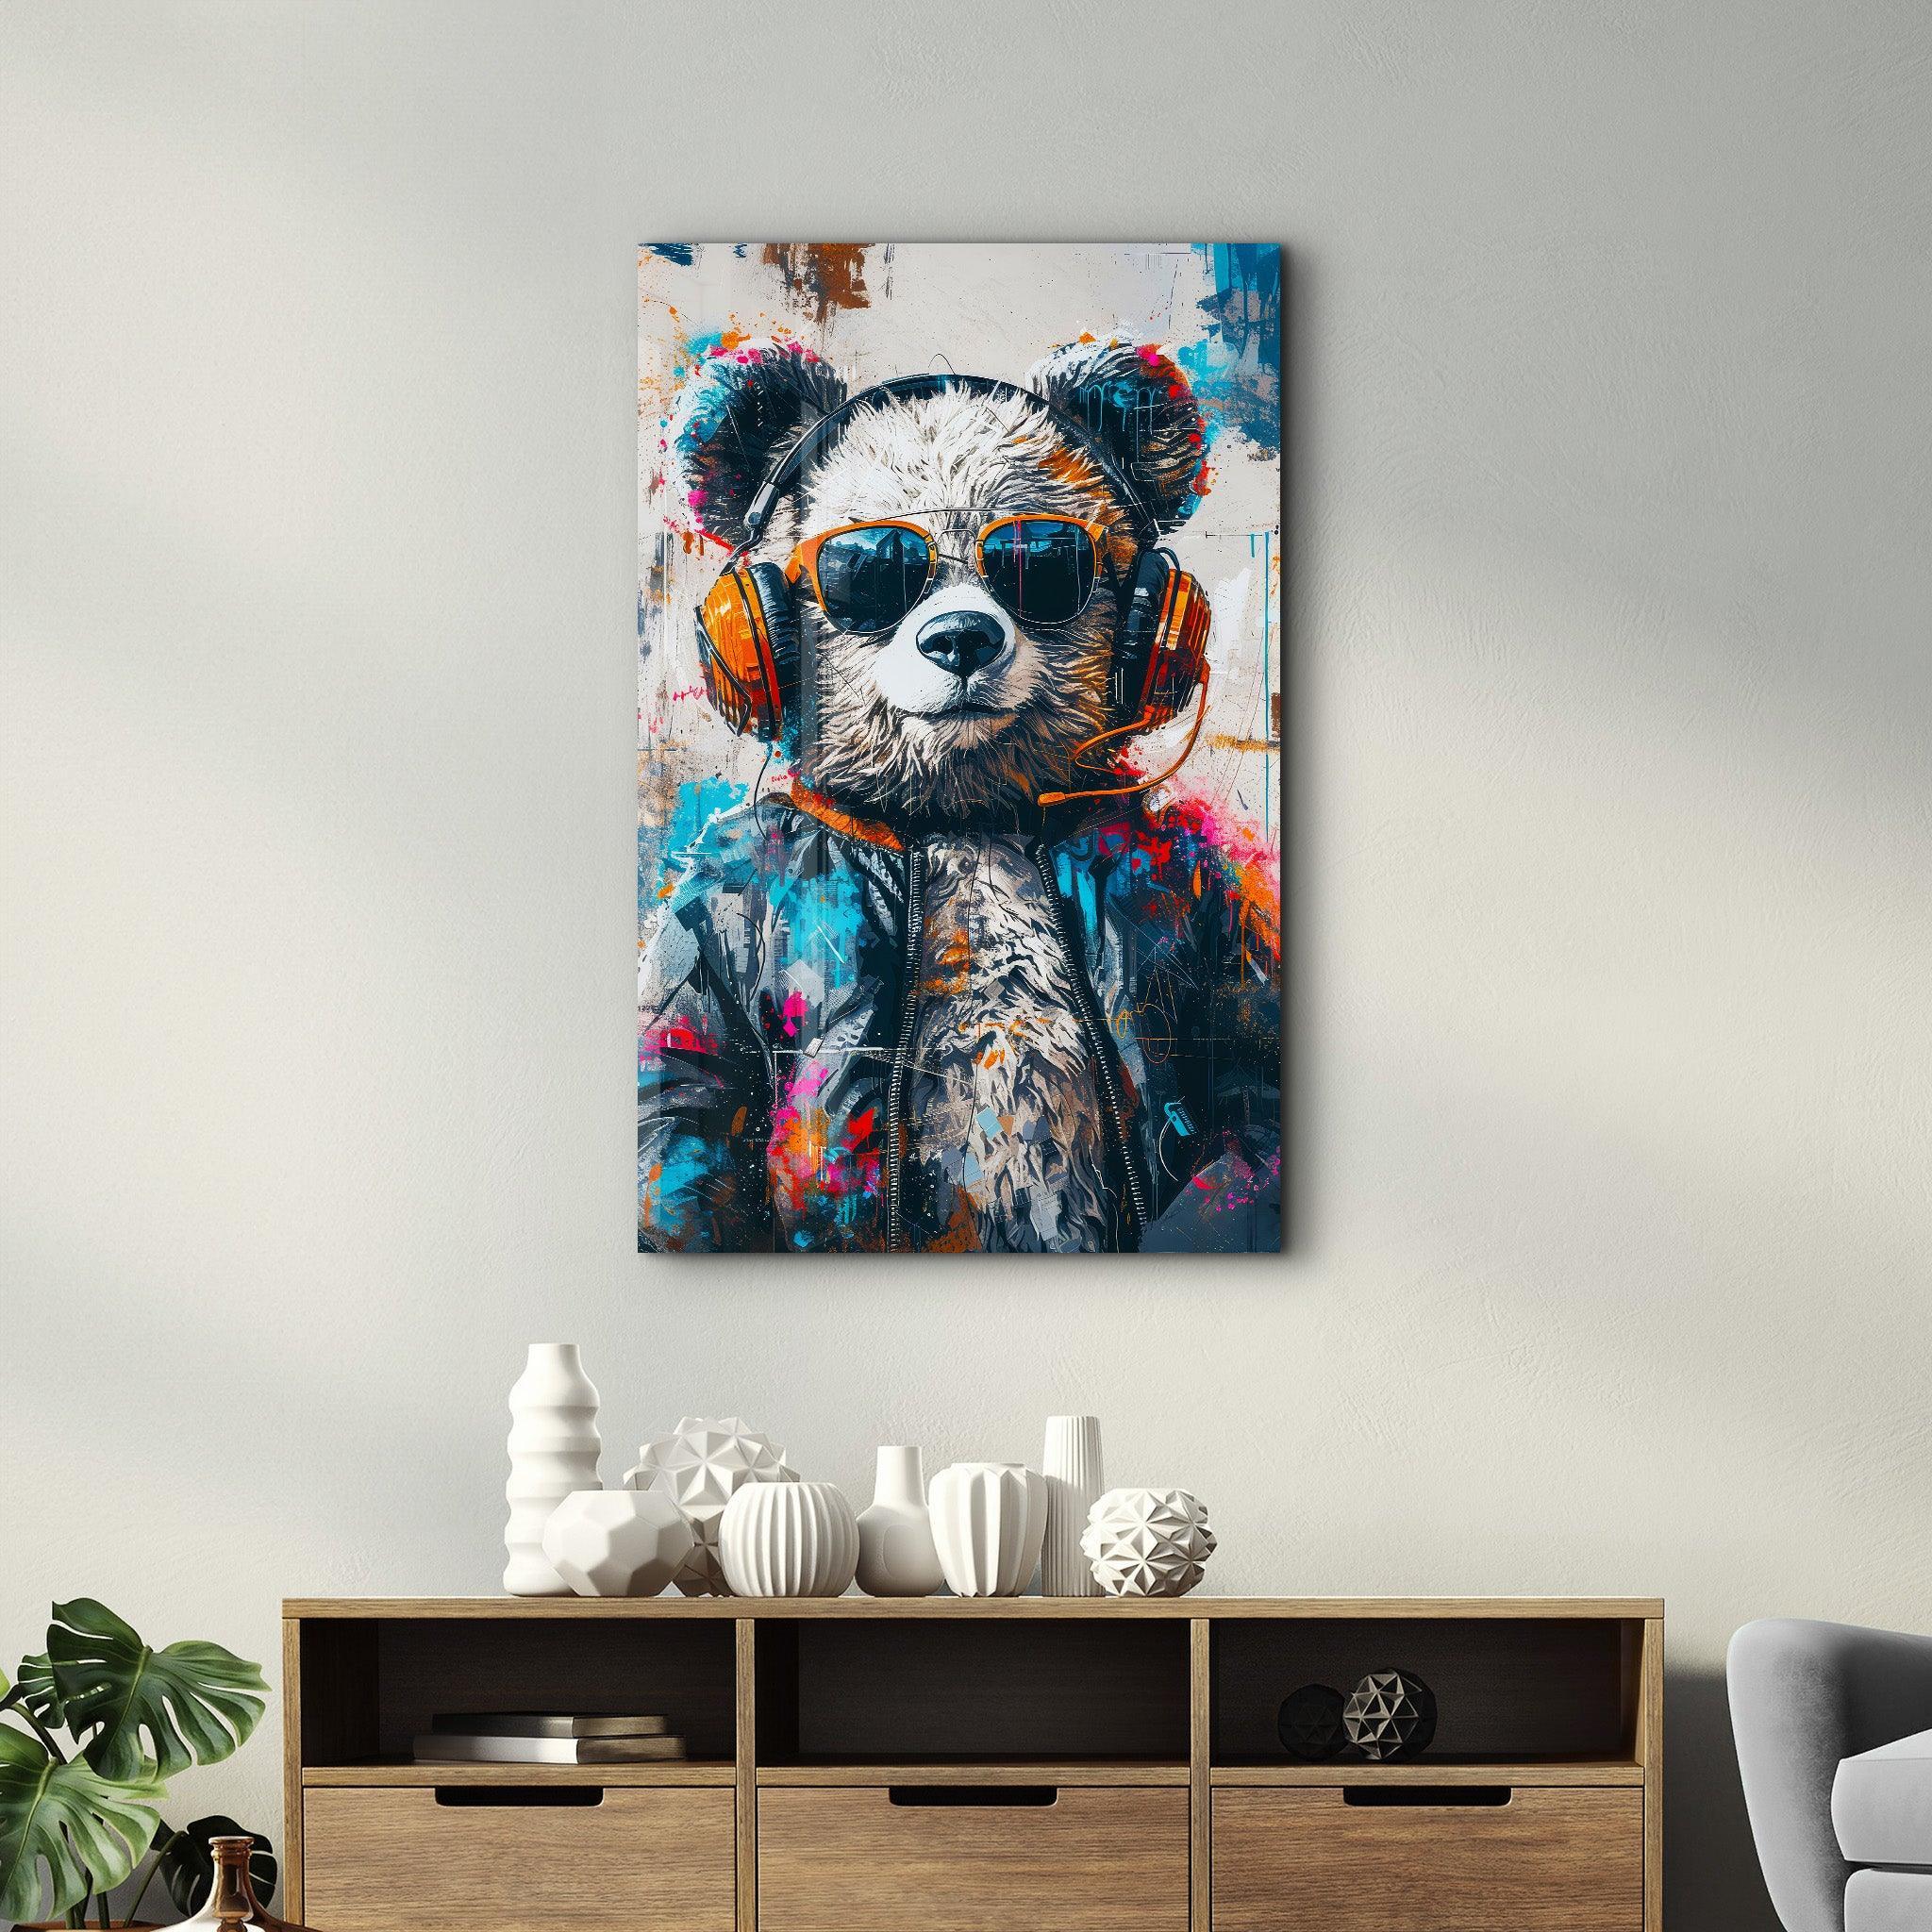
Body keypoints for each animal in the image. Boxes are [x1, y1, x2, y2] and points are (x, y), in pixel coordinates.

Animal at [639, 336, 1280, 1255]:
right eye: (866, 569)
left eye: (1040, 560)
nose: (960, 638)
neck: (966, 819)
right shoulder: (720, 909)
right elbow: (687, 1094)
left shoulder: (1193, 895)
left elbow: (1247, 1065)